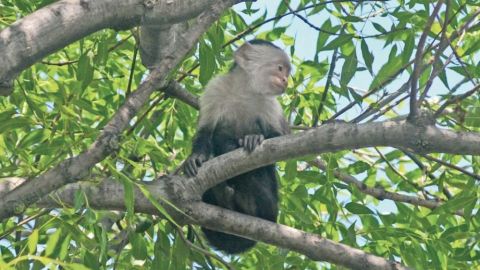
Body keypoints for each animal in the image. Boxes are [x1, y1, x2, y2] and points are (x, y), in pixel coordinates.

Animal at [183, 39, 288, 254]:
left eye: (287, 72)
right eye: (280, 68)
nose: (286, 81)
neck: (245, 91)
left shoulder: (270, 104)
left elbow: (279, 142)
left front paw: (255, 137)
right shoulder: (215, 89)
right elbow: (206, 132)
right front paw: (196, 158)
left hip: (270, 208)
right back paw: (223, 194)